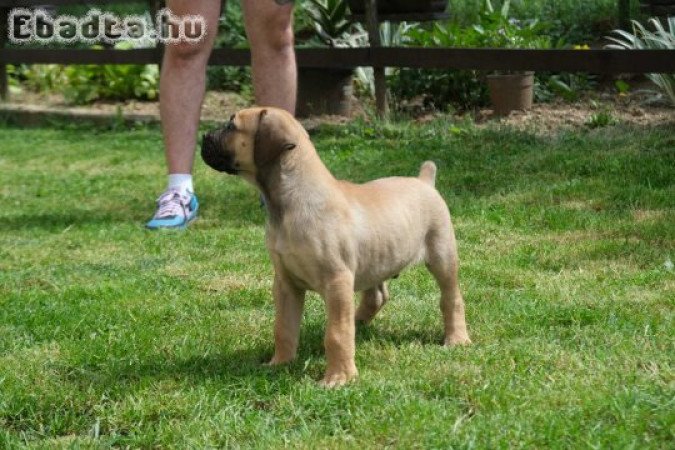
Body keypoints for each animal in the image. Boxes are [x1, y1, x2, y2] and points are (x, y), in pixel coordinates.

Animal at [202, 108, 470, 386]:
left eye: (231, 126)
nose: (203, 137)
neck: (290, 202)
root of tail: (424, 181)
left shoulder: (337, 280)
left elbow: (336, 334)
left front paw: (339, 377)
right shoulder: (285, 283)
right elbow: (283, 327)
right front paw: (280, 363)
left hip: (442, 255)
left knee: (451, 298)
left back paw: (457, 339)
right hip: (375, 258)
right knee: (377, 296)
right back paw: (358, 323)